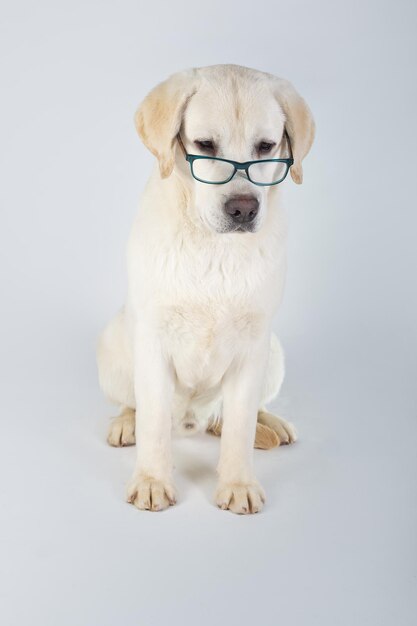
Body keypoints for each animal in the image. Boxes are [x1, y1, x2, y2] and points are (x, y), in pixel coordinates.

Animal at [96, 64, 312, 512]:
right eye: (204, 145)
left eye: (266, 146)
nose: (243, 209)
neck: (215, 246)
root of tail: (197, 420)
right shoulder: (154, 340)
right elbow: (154, 422)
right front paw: (152, 480)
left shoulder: (252, 345)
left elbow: (239, 428)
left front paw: (238, 483)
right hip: (112, 346)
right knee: (134, 404)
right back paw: (126, 423)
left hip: (273, 352)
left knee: (232, 418)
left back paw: (270, 424)